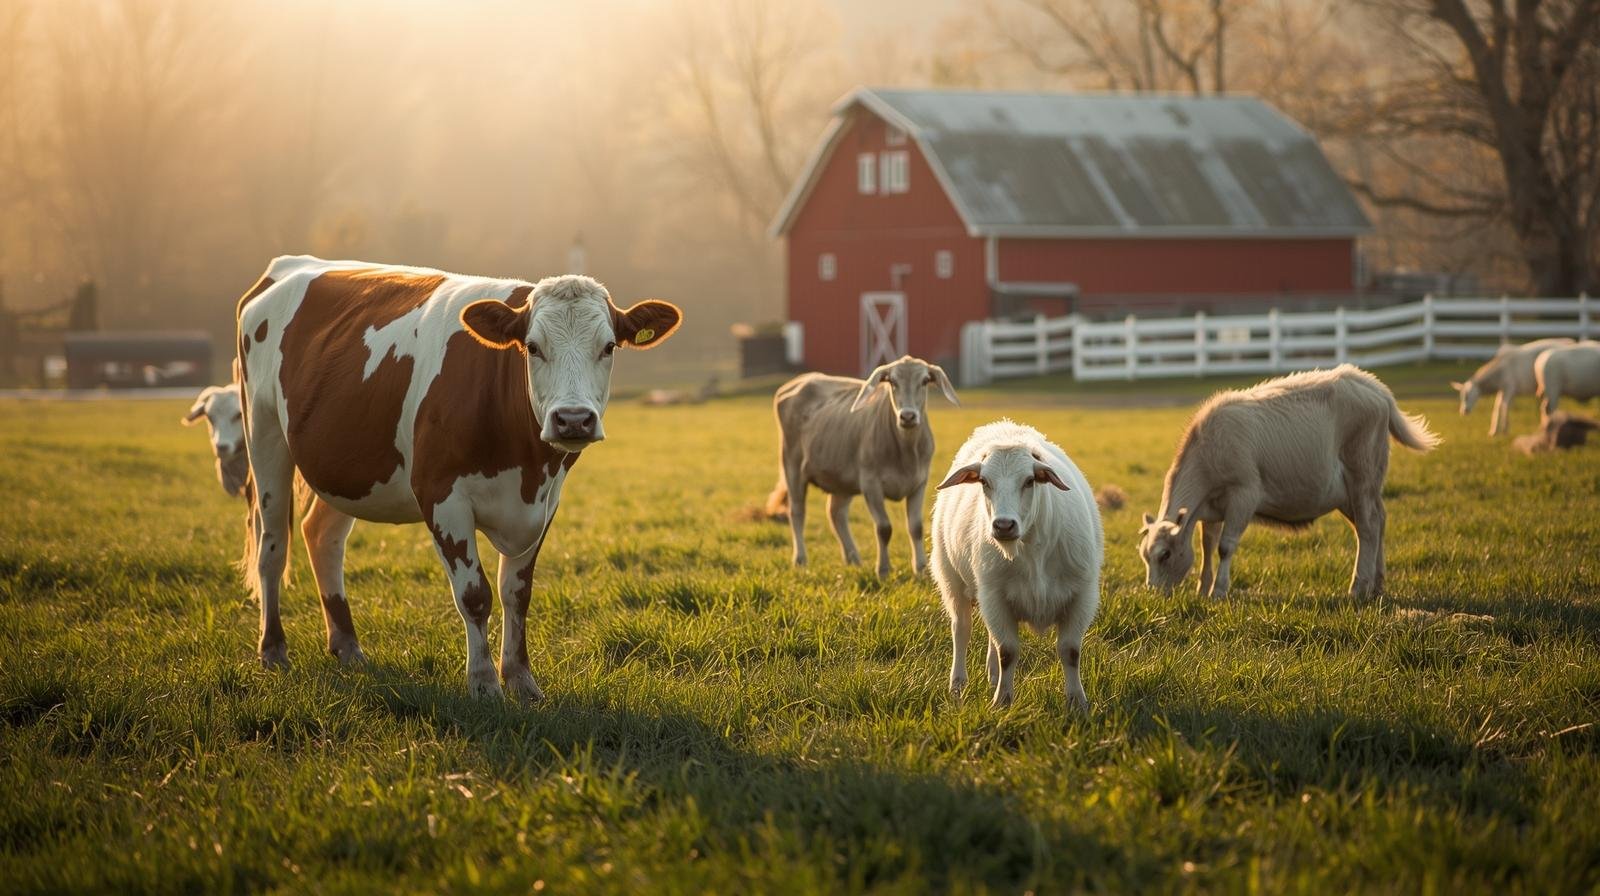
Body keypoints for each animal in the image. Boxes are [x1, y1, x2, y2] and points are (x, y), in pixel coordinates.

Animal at [235, 255, 681, 700]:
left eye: (608, 347)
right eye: (533, 347)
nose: (573, 420)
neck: (525, 464)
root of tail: (290, 264)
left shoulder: (544, 503)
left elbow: (517, 593)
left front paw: (521, 680)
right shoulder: (441, 496)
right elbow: (474, 594)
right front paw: (484, 684)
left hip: (347, 466)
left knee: (322, 536)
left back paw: (347, 646)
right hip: (264, 433)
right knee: (272, 546)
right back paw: (273, 650)